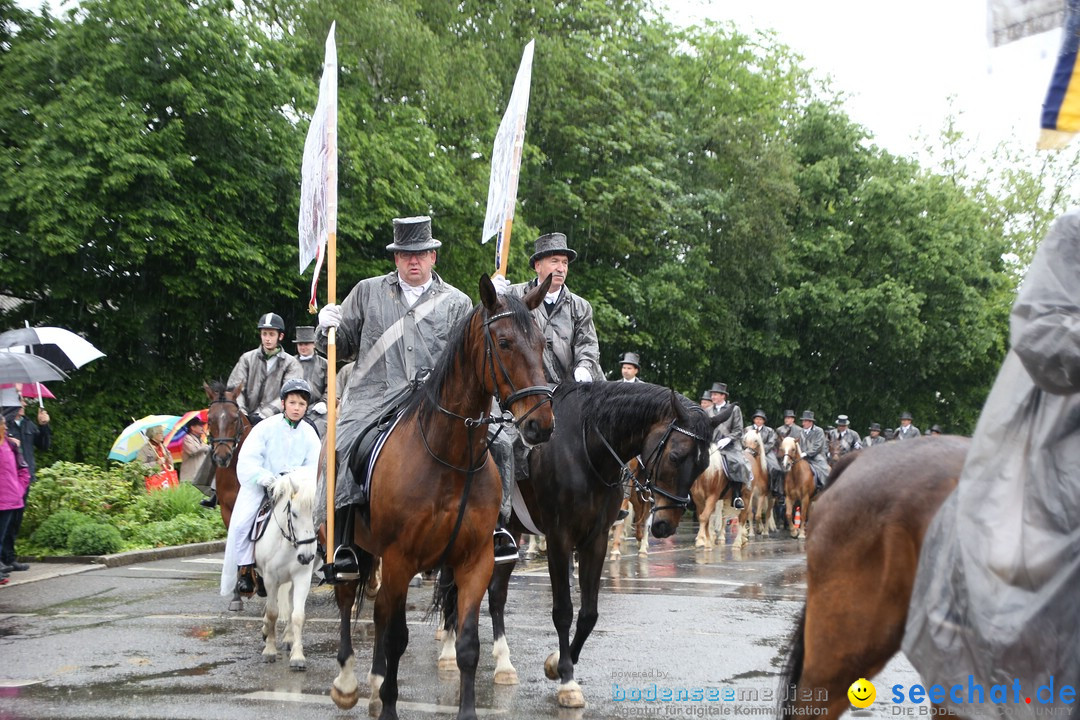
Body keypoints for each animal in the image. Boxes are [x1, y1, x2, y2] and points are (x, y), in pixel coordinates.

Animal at [251, 468, 315, 669]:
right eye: (293, 513)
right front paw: (269, 651)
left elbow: (298, 615)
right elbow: (272, 613)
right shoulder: (270, 578)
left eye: (315, 513)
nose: (306, 556)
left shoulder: (302, 577)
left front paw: (298, 656)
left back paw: (288, 638)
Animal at [326, 276, 557, 720]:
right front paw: (389, 705)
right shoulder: (400, 560)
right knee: (348, 599)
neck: (448, 456)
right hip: (352, 546)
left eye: (542, 343)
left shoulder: (474, 560)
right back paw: (347, 683)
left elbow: (467, 645)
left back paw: (375, 683)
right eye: (504, 342)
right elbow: (396, 637)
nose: (541, 424)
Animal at [436, 382, 725, 708]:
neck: (587, 451)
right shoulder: (559, 539)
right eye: (675, 456)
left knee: (496, 595)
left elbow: (589, 614)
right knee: (451, 587)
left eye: (703, 464)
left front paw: (556, 664)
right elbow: (563, 610)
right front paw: (567, 681)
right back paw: (448, 651)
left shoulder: (595, 540)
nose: (666, 524)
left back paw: (504, 664)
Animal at [777, 436, 972, 716]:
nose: (783, 462)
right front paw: (793, 532)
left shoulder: (803, 498)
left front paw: (797, 532)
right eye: (781, 445)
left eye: (792, 447)